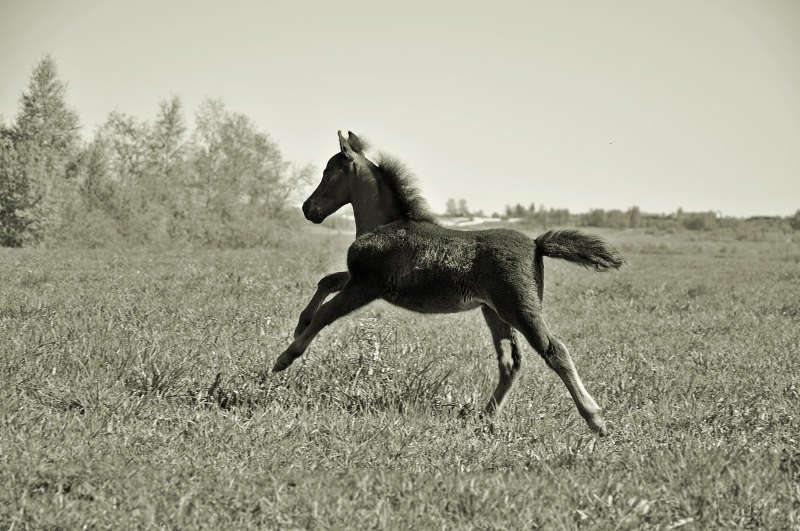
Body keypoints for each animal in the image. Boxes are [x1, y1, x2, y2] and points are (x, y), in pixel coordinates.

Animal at [276, 131, 624, 434]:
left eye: (328, 173)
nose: (308, 208)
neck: (384, 224)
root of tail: (537, 244)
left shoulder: (366, 285)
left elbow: (326, 314)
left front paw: (284, 358)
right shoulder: (357, 278)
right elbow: (326, 281)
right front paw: (299, 324)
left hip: (519, 308)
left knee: (555, 350)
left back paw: (595, 419)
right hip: (494, 311)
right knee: (511, 362)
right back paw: (486, 417)